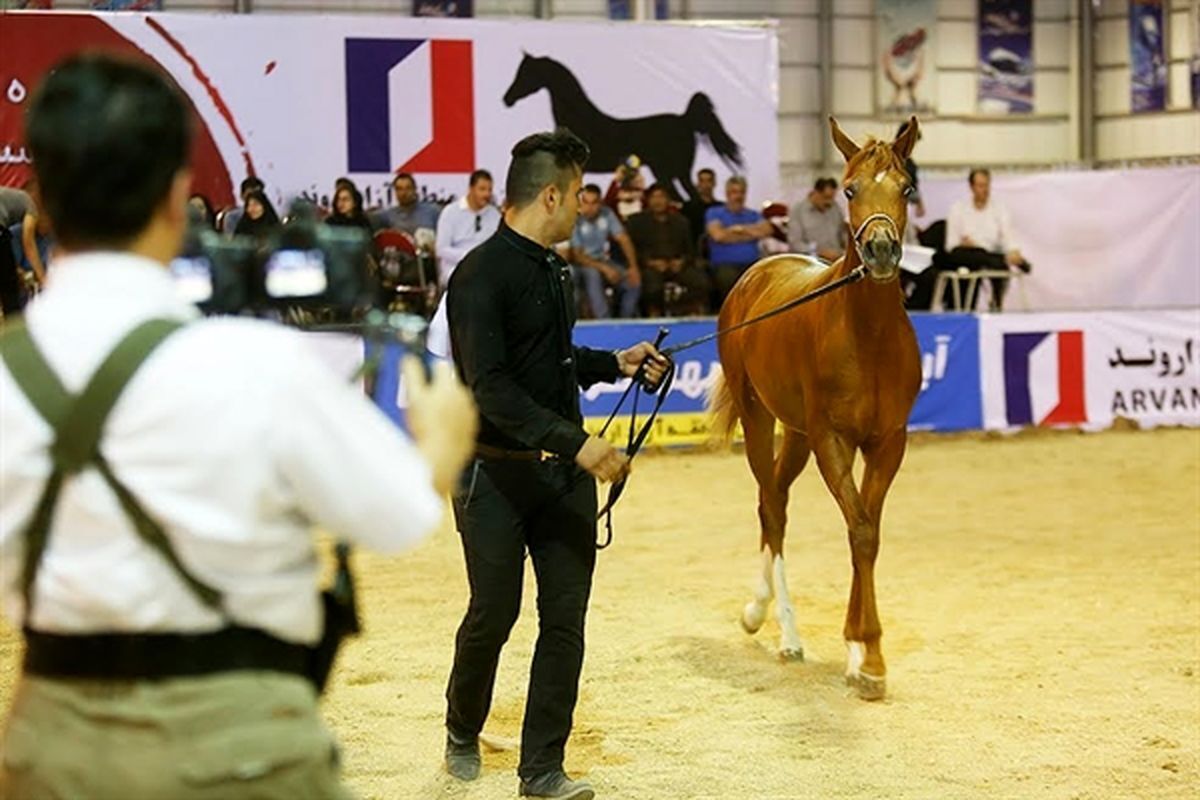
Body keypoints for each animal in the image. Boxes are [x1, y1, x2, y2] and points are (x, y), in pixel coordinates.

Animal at [705, 117, 921, 700]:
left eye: (906, 188)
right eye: (849, 190)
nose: (880, 252)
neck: (868, 337)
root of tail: (756, 272)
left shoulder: (888, 442)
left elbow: (867, 530)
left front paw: (859, 652)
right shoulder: (833, 442)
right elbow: (861, 529)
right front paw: (869, 655)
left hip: (796, 433)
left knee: (775, 497)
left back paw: (761, 613)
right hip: (760, 420)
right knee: (771, 508)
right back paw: (782, 631)